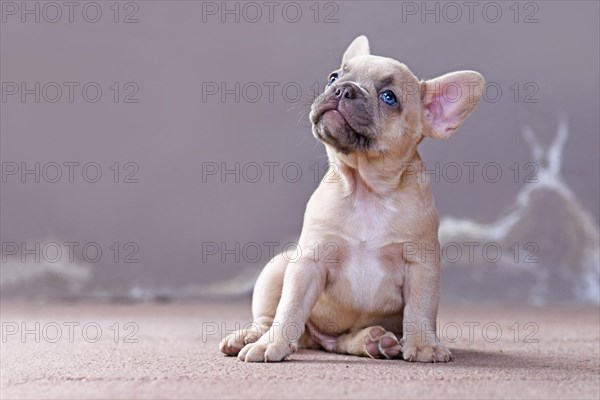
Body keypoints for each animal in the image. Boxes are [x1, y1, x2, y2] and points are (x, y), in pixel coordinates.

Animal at [219, 35, 482, 362]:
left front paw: (423, 344)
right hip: (277, 268)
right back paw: (249, 337)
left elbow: (420, 309)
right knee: (269, 318)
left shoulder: (421, 266)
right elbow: (289, 308)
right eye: (333, 77)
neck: (366, 190)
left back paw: (375, 341)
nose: (344, 89)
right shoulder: (308, 263)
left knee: (343, 342)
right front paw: (272, 344)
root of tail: (315, 341)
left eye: (389, 97)